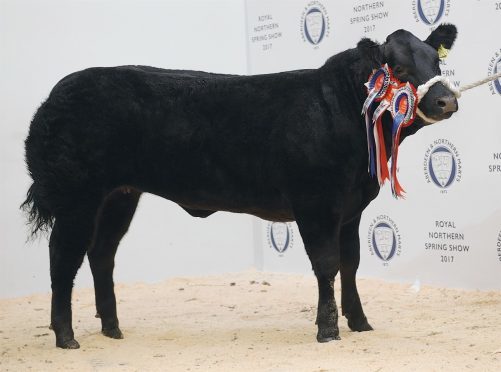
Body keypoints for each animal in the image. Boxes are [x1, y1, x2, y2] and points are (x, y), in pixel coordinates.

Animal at [20, 24, 458, 348]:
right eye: (398, 69)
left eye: (435, 59)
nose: (446, 101)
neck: (344, 109)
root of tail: (53, 99)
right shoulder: (316, 203)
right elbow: (327, 264)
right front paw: (328, 330)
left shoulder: (351, 208)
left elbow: (351, 262)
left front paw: (360, 322)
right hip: (78, 197)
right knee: (63, 256)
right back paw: (66, 336)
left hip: (119, 196)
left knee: (102, 254)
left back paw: (112, 328)